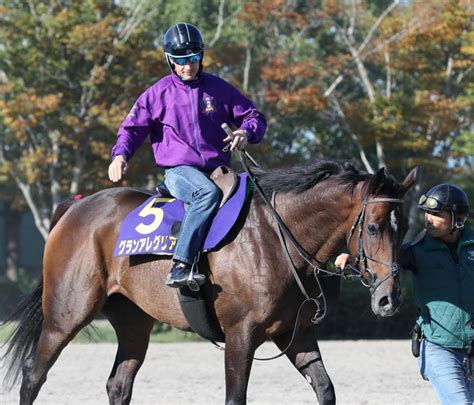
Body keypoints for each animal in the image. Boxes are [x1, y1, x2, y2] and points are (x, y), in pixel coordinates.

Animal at [0, 159, 414, 402]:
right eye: (374, 227)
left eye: (406, 227)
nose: (389, 299)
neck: (275, 237)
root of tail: (77, 207)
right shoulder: (240, 336)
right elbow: (235, 397)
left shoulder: (294, 333)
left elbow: (324, 387)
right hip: (66, 315)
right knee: (34, 375)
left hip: (133, 322)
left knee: (118, 384)